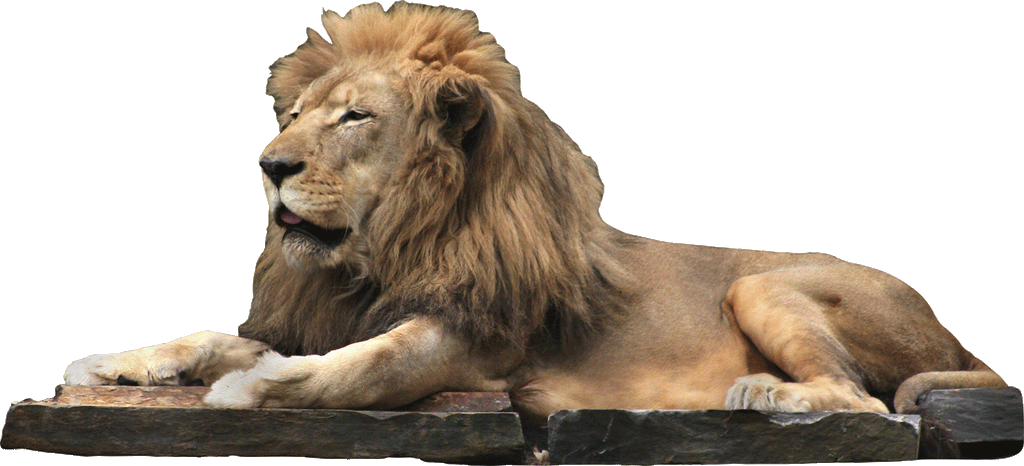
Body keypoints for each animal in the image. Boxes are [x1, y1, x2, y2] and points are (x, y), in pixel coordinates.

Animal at [65, 2, 1006, 428]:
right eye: (292, 117)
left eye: (355, 118)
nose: (270, 167)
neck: (385, 253)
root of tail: (955, 338)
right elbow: (208, 337)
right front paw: (113, 364)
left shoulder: (472, 347)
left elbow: (353, 370)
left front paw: (246, 390)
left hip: (764, 287)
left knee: (867, 402)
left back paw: (757, 392)